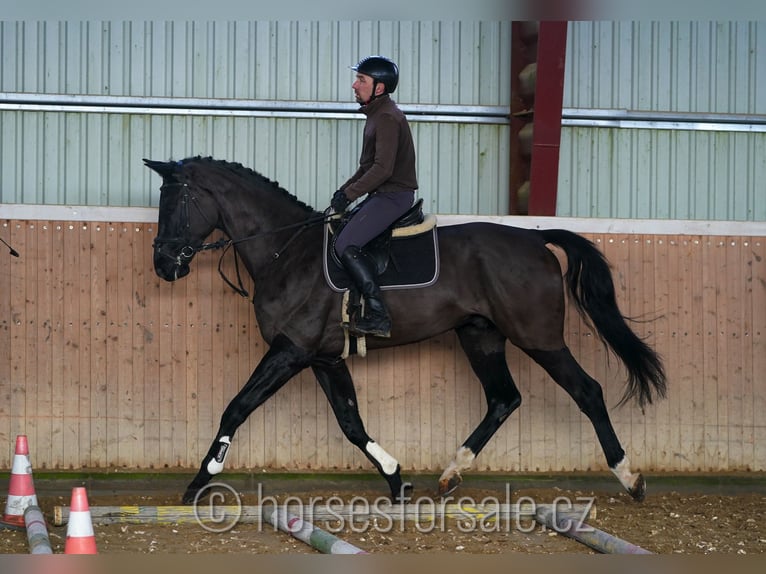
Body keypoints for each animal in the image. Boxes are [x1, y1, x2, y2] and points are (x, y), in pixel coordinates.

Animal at [144, 156, 664, 504]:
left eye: (175, 201)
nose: (164, 265)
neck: (286, 251)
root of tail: (535, 239)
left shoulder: (291, 350)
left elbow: (237, 407)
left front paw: (199, 480)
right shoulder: (323, 357)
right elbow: (351, 422)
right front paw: (396, 478)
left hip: (538, 338)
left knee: (587, 392)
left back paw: (629, 477)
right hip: (480, 335)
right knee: (504, 398)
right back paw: (452, 473)